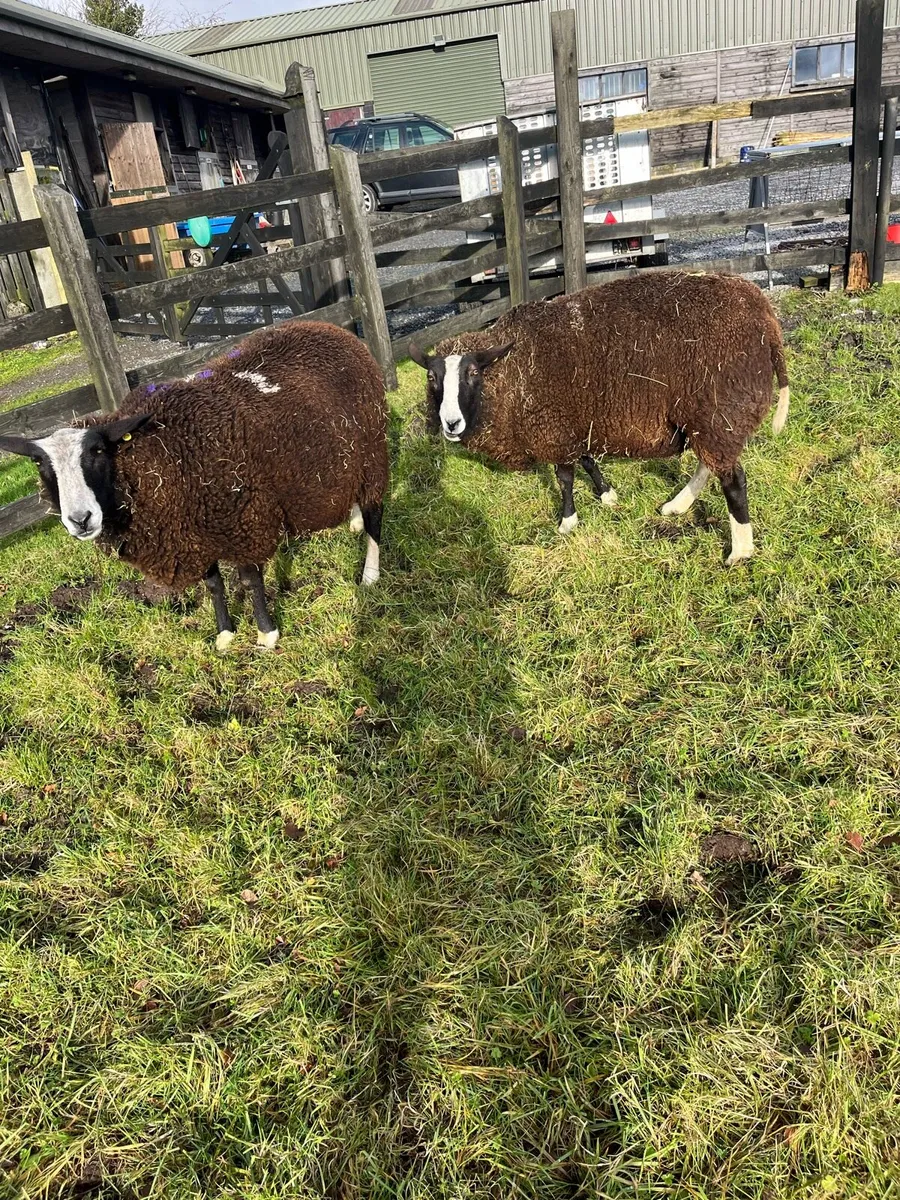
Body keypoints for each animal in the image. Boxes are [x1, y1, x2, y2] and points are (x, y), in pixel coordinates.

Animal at [0, 320, 388, 650]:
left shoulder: (241, 520)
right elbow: (214, 583)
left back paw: (370, 574)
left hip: (373, 452)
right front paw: (226, 634)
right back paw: (352, 521)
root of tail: (331, 328)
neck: (158, 455)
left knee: (376, 515)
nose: (80, 520)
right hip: (346, 458)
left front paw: (266, 634)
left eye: (97, 451)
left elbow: (249, 579)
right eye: (40, 463)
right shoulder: (192, 529)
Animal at [411, 272, 789, 566]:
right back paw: (677, 506)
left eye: (473, 373)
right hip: (707, 419)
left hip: (718, 411)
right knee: (710, 464)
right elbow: (587, 458)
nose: (450, 424)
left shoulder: (554, 428)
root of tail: (766, 317)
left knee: (733, 480)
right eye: (432, 377)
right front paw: (607, 494)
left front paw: (568, 521)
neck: (511, 373)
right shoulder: (573, 422)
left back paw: (739, 551)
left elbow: (564, 478)